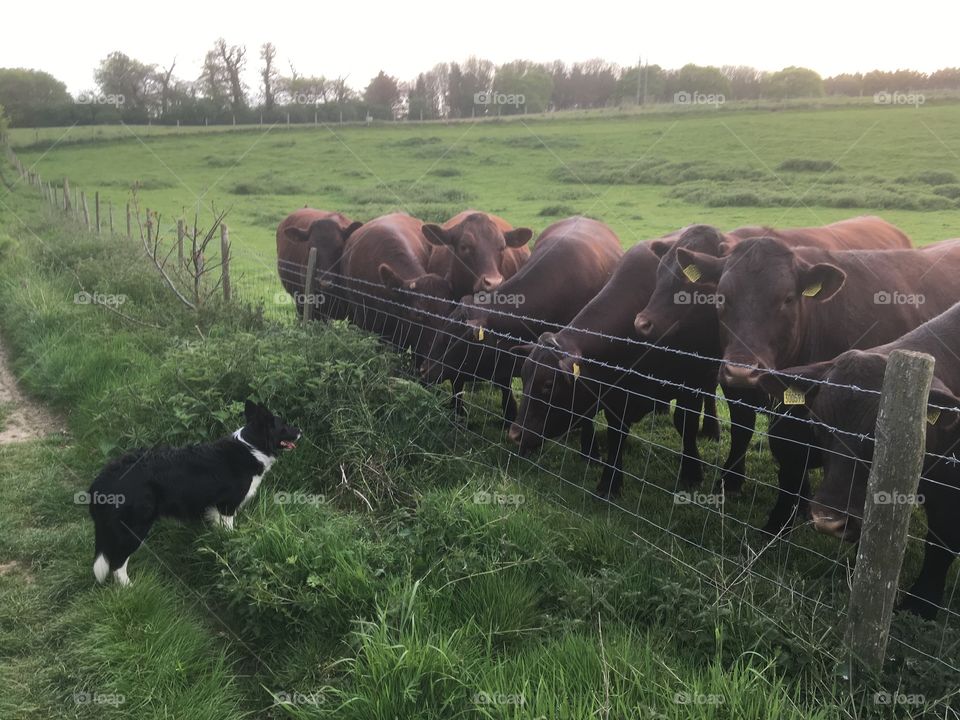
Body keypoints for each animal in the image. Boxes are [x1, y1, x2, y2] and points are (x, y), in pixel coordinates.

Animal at [508, 241, 719, 496]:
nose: (515, 434)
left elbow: (685, 425)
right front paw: (609, 483)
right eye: (524, 378)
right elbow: (616, 433)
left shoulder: (690, 383)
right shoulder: (616, 393)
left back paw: (712, 430)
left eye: (548, 385)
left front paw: (692, 473)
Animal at [632, 217, 913, 493]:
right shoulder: (718, 378)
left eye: (689, 283)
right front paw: (723, 477)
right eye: (659, 273)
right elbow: (730, 427)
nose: (643, 323)